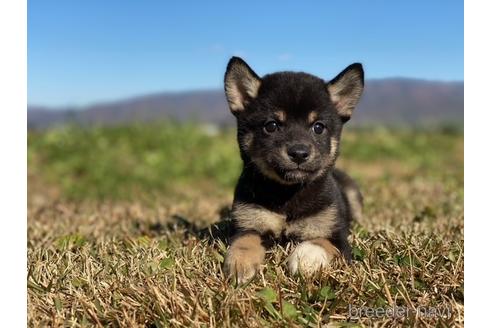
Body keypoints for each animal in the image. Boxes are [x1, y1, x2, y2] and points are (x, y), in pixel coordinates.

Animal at [223, 55, 366, 282]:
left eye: (318, 127)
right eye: (271, 126)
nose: (299, 153)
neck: (287, 193)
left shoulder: (337, 237)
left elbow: (319, 242)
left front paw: (306, 257)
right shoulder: (248, 223)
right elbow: (244, 241)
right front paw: (240, 264)